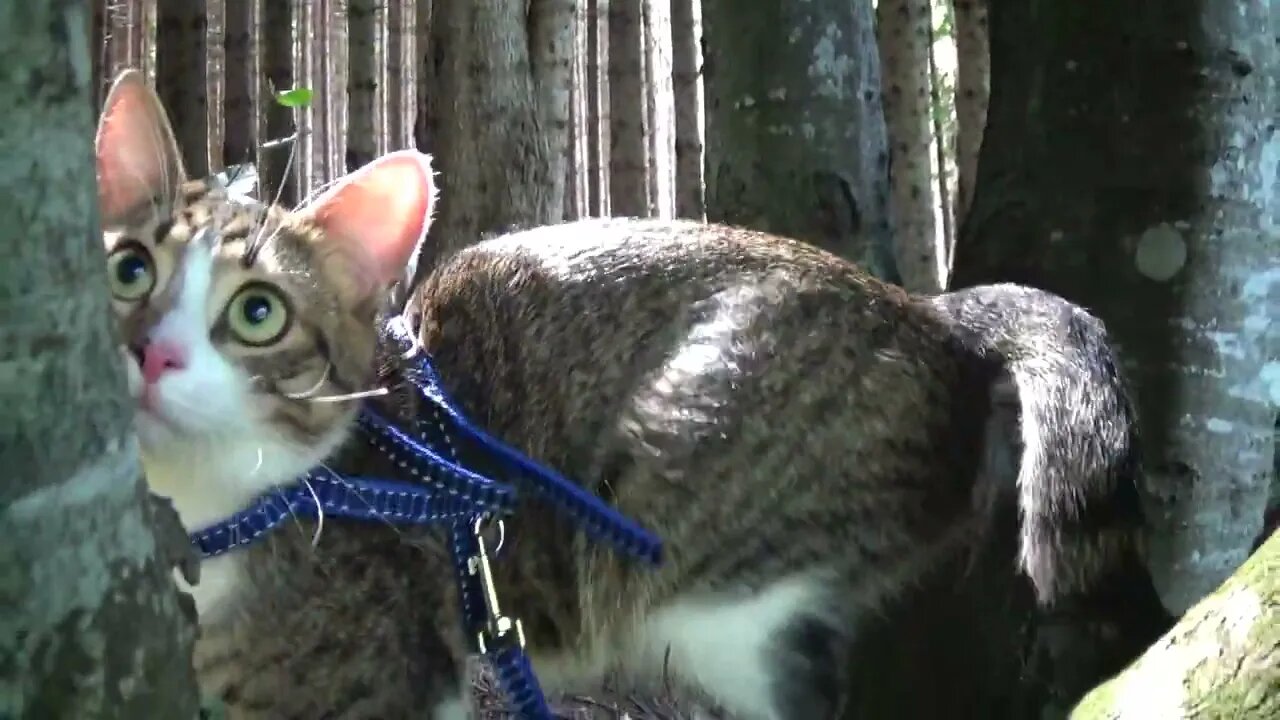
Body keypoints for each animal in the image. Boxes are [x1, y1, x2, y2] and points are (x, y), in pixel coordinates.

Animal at [99, 68, 1157, 717]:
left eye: (258, 314)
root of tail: (932, 312)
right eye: (126, 268)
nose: (149, 354)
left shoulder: (378, 683)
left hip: (697, 533)